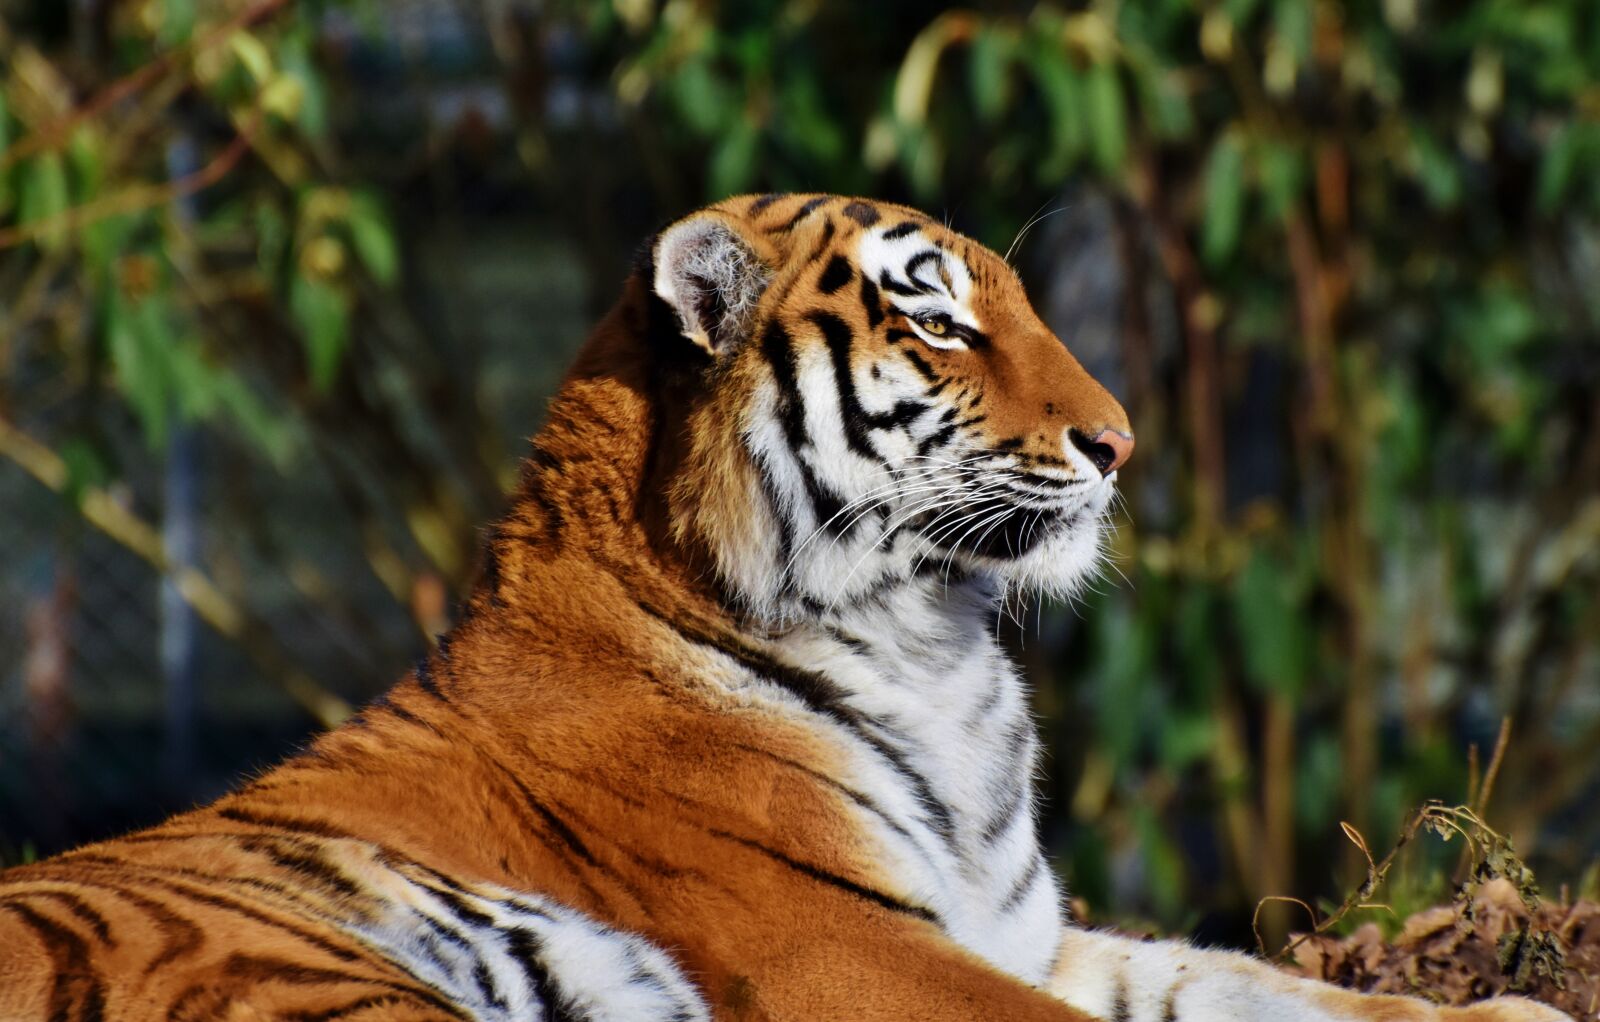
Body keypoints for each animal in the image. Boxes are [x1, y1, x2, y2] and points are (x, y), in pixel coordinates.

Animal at [0, 193, 1571, 1022]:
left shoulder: (1030, 931)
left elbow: (1259, 989)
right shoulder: (850, 949)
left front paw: (1507, 1005)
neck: (937, 645)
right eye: (938, 319)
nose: (1122, 442)